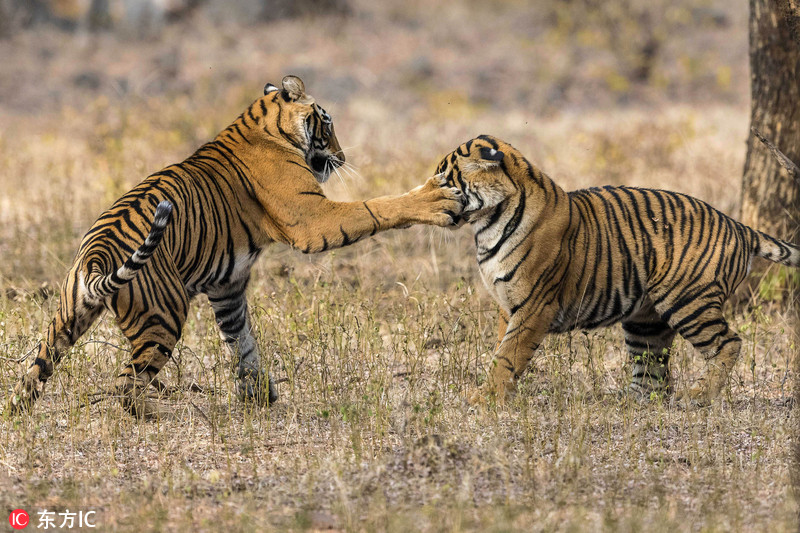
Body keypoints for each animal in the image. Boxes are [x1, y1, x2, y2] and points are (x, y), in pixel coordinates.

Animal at [7, 75, 462, 416]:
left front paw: (260, 394)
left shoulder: (227, 285)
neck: (265, 124)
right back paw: (155, 413)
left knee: (35, 369)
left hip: (66, 318)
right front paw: (437, 200)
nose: (342, 157)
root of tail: (97, 252)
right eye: (328, 124)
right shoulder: (311, 219)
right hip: (163, 316)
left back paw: (15, 411)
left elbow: (242, 341)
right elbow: (375, 207)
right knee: (125, 385)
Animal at [438, 135, 800, 406]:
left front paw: (485, 399)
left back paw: (698, 396)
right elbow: (502, 349)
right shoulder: (507, 304)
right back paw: (630, 403)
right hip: (646, 321)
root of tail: (739, 226)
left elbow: (508, 355)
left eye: (445, 179)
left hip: (689, 302)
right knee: (652, 374)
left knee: (728, 343)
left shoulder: (534, 305)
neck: (488, 224)